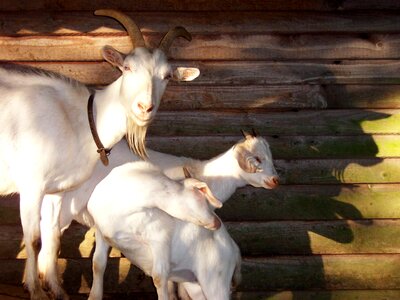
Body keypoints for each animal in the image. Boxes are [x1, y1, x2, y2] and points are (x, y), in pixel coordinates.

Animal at [0, 9, 199, 300]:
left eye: (167, 77)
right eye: (127, 68)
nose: (144, 107)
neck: (81, 120)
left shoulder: (56, 190)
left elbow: (52, 237)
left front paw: (56, 289)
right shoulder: (32, 185)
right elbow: (34, 240)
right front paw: (35, 291)